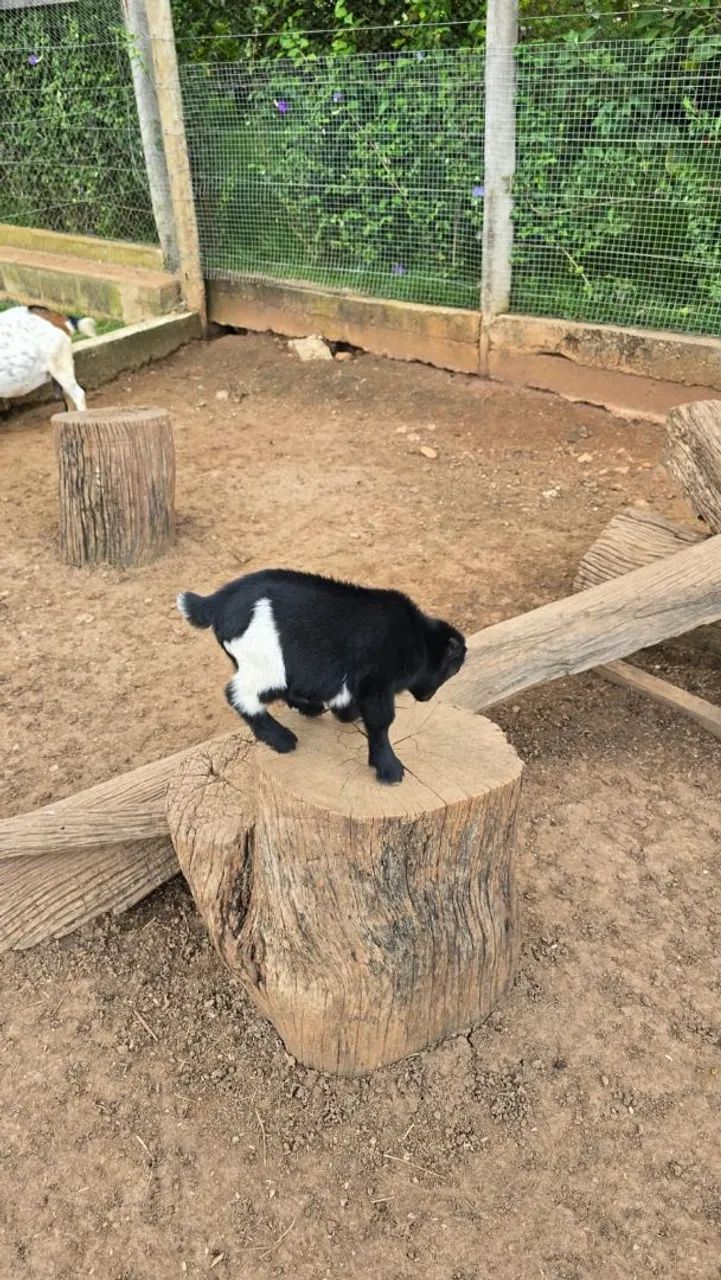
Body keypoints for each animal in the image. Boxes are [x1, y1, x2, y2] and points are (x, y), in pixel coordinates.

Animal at [177, 569, 466, 784]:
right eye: (452, 668)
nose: (426, 698)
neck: (417, 639)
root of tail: (216, 603)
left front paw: (346, 714)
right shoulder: (376, 682)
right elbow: (381, 721)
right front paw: (389, 769)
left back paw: (310, 709)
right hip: (266, 662)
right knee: (239, 694)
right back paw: (282, 739)